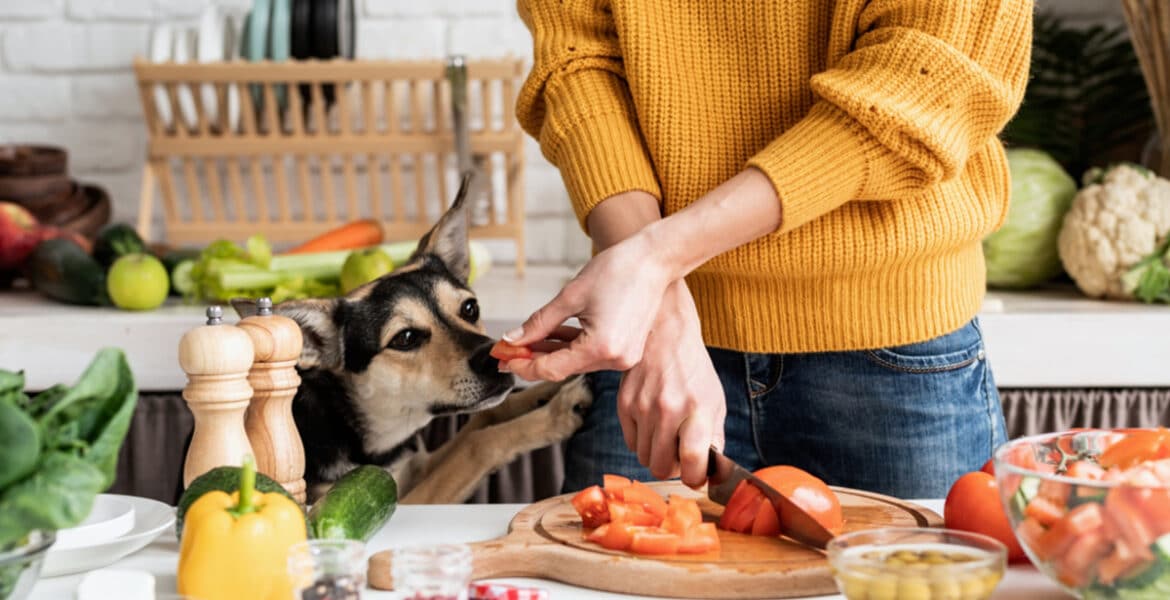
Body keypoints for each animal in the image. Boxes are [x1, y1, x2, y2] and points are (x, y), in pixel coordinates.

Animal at [235, 175, 594, 502]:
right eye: (405, 338)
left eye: (470, 308)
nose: (494, 358)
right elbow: (478, 444)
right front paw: (557, 413)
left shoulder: (414, 466)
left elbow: (483, 419)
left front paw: (547, 390)